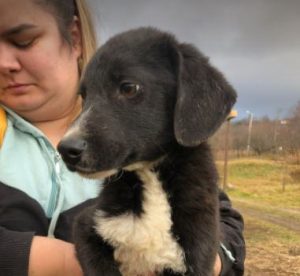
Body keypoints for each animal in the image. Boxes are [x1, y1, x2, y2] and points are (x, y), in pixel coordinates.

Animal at [57, 26, 237, 276]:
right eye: (84, 96)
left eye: (128, 88)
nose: (66, 149)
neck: (149, 174)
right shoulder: (86, 226)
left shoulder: (199, 252)